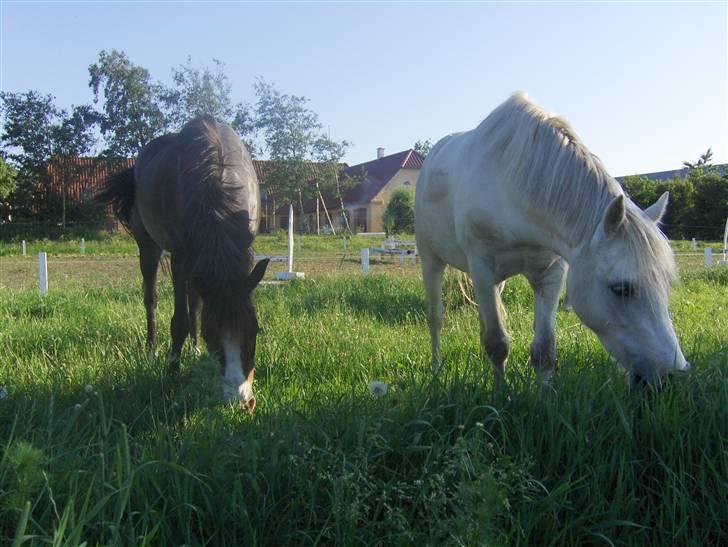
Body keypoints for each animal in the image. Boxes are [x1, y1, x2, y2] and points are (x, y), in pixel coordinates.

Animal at [96, 115, 269, 412]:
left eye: (254, 330)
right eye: (212, 335)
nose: (241, 401)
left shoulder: (241, 255)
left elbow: (194, 310)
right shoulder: (180, 259)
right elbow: (179, 320)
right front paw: (173, 371)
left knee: (194, 303)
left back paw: (192, 348)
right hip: (149, 246)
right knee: (151, 297)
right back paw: (152, 349)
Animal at [415, 92, 689, 388]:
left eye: (665, 283)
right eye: (621, 288)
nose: (670, 376)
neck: (514, 189)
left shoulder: (551, 274)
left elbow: (544, 350)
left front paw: (544, 396)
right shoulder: (483, 270)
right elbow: (497, 344)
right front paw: (500, 394)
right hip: (432, 260)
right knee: (435, 317)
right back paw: (436, 368)